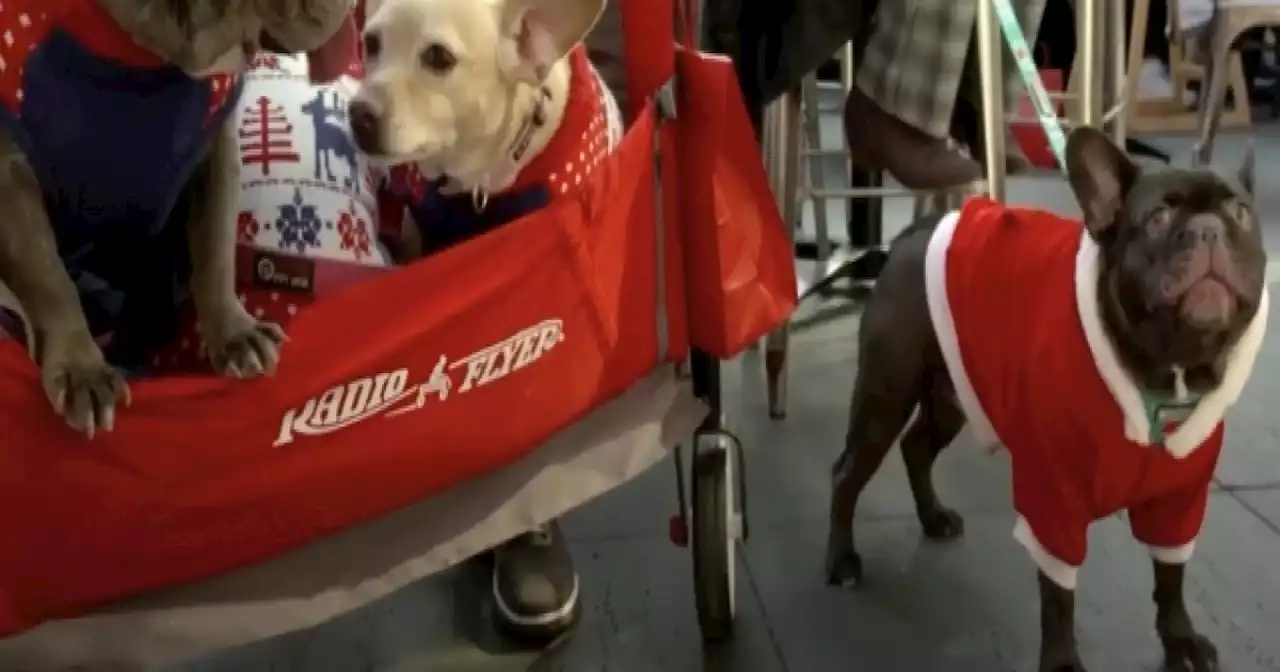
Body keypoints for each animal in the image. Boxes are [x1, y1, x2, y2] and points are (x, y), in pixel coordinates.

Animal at [0, 0, 348, 437]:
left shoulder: (215, 147)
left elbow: (215, 249)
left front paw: (235, 332)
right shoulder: (11, 173)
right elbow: (49, 279)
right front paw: (82, 370)